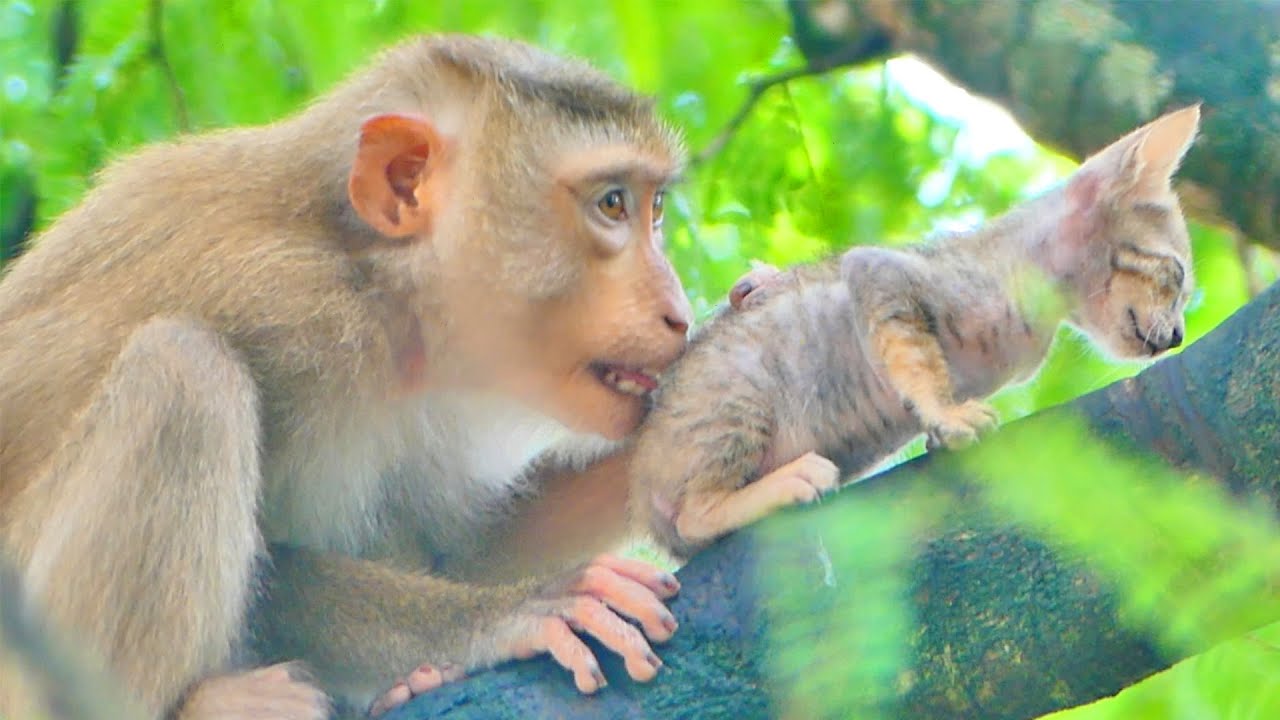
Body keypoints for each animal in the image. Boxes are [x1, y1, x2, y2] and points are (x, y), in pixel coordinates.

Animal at [0, 34, 713, 719]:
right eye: (612, 204)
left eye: (654, 209)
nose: (678, 312)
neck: (376, 280)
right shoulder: (285, 311)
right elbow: (276, 565)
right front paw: (518, 612)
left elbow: (459, 551)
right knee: (182, 374)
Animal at [629, 106, 1202, 559]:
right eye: (1176, 276)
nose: (1177, 334)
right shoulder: (879, 274)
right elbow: (916, 360)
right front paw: (949, 414)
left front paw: (940, 432)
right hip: (738, 403)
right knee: (693, 516)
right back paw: (789, 481)